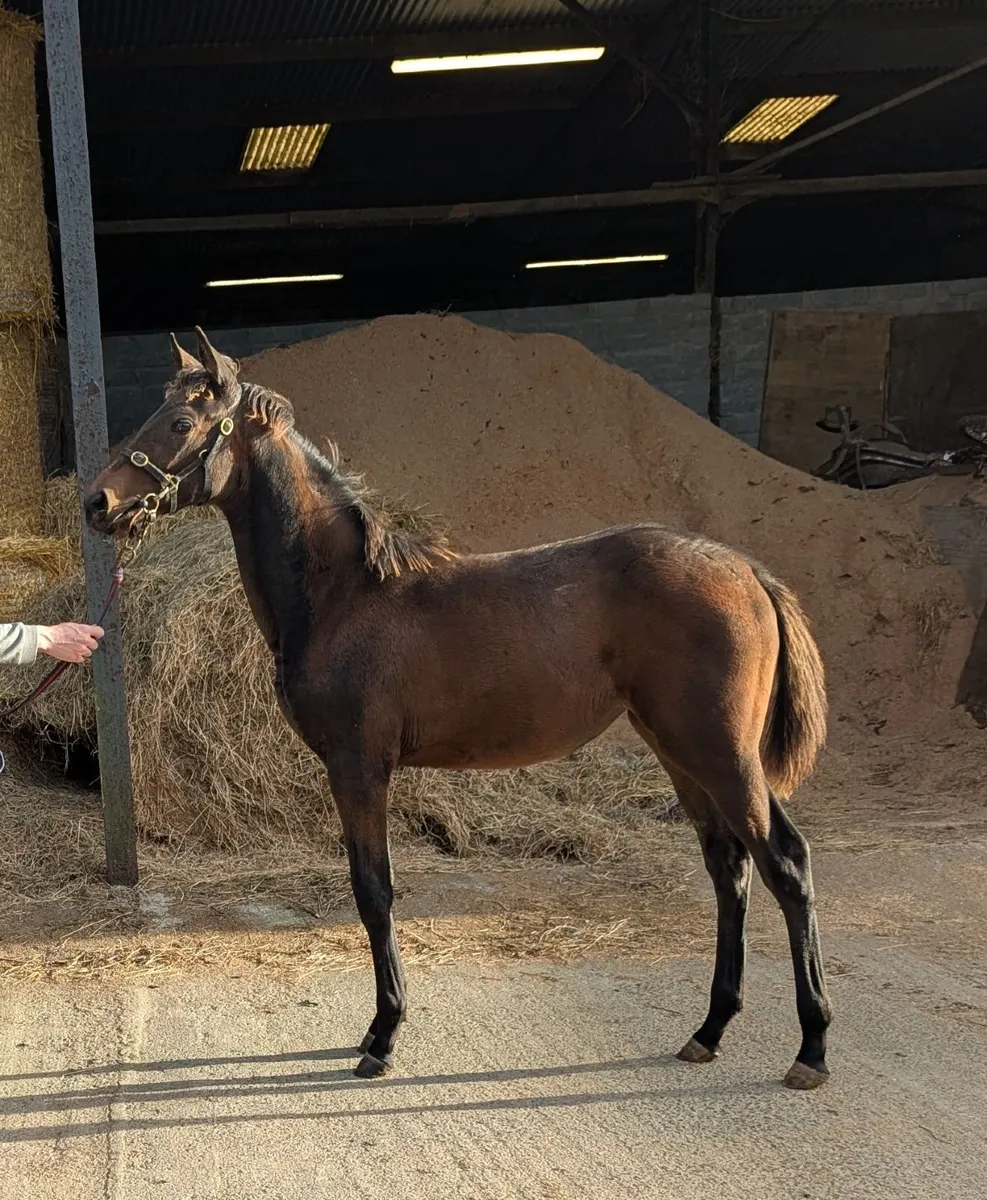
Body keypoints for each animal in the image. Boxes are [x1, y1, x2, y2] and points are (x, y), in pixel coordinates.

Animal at [85, 327, 832, 1088]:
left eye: (180, 423)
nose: (98, 503)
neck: (344, 594)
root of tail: (747, 571)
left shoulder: (359, 768)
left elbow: (374, 892)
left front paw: (382, 1036)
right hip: (680, 753)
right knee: (729, 868)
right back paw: (708, 1030)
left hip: (722, 754)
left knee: (785, 864)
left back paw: (810, 1048)